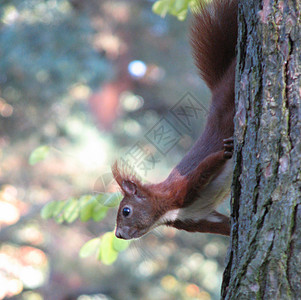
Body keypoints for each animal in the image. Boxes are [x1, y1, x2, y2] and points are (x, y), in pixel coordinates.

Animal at [112, 0, 237, 239]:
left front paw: (227, 152)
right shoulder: (196, 219)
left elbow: (207, 165)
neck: (166, 211)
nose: (118, 235)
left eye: (126, 211)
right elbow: (223, 225)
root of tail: (220, 83)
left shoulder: (183, 188)